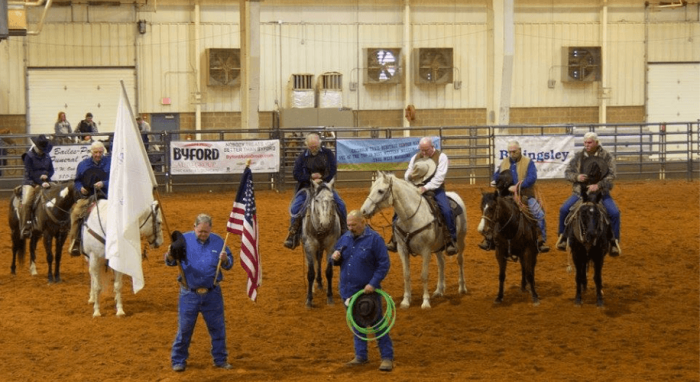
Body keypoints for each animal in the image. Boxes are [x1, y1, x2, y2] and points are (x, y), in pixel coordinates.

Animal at [300, 179, 342, 308]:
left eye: (332, 200)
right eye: (317, 200)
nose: (325, 223)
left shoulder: (331, 247)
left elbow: (328, 271)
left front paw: (330, 297)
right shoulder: (309, 247)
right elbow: (310, 273)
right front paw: (309, 299)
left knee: (318, 260)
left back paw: (319, 282)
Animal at [358, 172, 468, 308]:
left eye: (380, 191)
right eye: (371, 189)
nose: (363, 211)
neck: (411, 218)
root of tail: (455, 195)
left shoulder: (426, 251)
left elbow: (424, 275)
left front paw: (425, 302)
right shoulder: (402, 249)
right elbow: (406, 275)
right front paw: (406, 301)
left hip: (460, 240)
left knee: (460, 260)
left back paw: (462, 288)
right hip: (438, 246)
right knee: (441, 263)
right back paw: (439, 290)